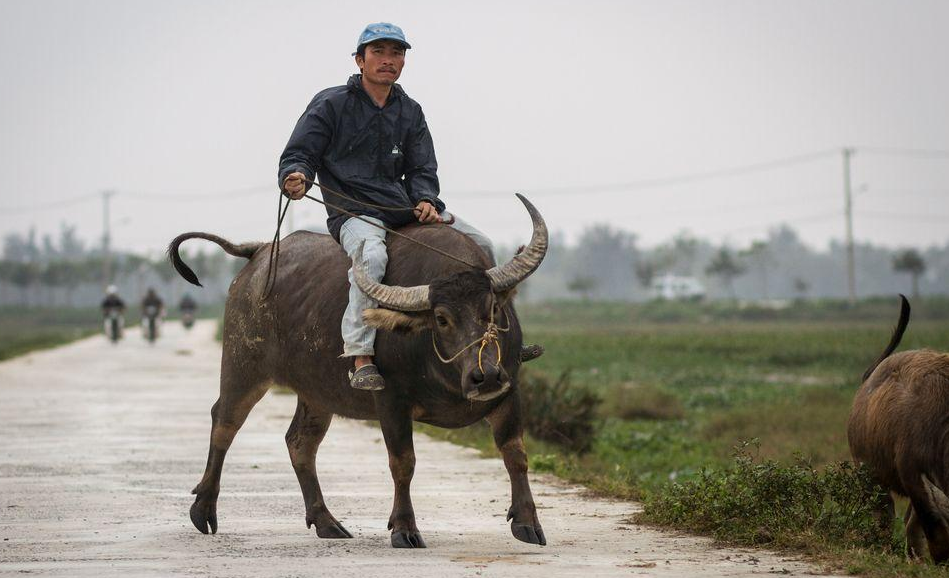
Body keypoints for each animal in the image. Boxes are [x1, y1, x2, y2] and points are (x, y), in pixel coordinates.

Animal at [169, 194, 548, 548]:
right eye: (441, 318)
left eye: (493, 308)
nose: (485, 376)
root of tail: (259, 253)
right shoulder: (391, 401)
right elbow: (403, 463)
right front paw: (404, 529)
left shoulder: (508, 391)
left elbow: (516, 454)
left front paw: (528, 524)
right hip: (243, 365)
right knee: (224, 423)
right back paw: (203, 509)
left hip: (316, 393)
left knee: (299, 442)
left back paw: (326, 522)